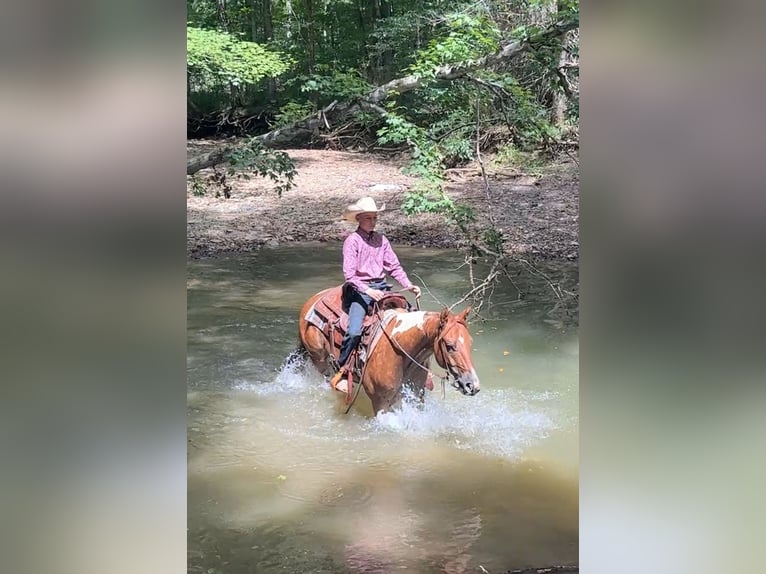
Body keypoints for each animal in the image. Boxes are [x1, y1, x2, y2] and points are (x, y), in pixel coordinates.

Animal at [298, 286, 481, 414]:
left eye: (470, 343)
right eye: (450, 346)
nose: (472, 385)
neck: (403, 352)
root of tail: (313, 300)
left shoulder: (417, 397)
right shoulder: (380, 403)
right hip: (320, 360)